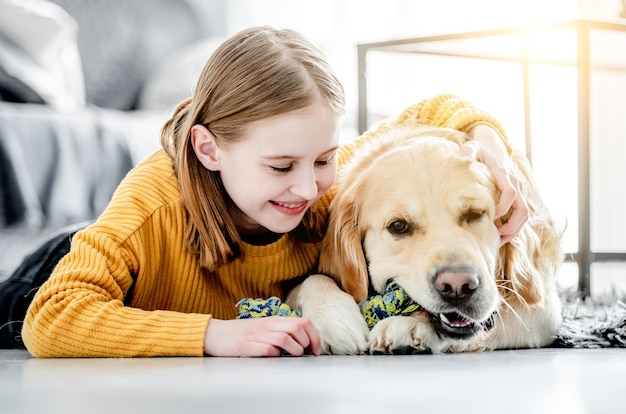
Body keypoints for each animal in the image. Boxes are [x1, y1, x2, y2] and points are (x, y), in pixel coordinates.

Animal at [286, 124, 564, 354]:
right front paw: (336, 319)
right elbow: (313, 279)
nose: (458, 286)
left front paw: (407, 326)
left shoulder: (543, 308)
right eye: (398, 226)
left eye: (474, 214)